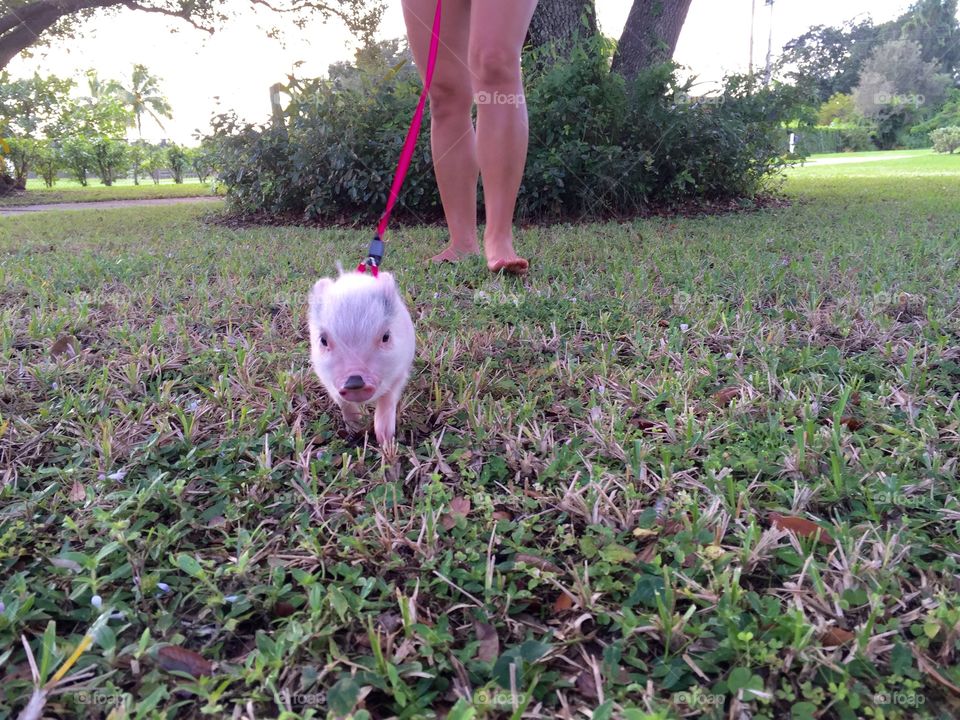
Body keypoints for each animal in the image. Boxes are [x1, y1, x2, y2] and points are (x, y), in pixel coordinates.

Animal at [307, 269, 416, 446]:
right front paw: (356, 431)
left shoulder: (401, 370)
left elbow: (388, 399)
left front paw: (385, 441)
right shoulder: (326, 378)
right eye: (323, 340)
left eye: (386, 336)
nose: (354, 381)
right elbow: (343, 404)